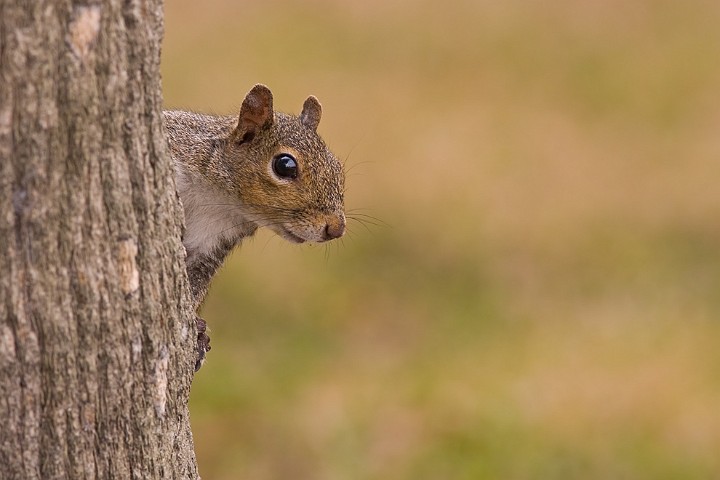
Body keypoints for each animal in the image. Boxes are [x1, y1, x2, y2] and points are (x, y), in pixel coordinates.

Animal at [165, 84, 344, 372]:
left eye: (337, 167)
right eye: (285, 165)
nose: (337, 228)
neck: (219, 200)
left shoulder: (215, 242)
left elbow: (195, 284)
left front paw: (197, 328)